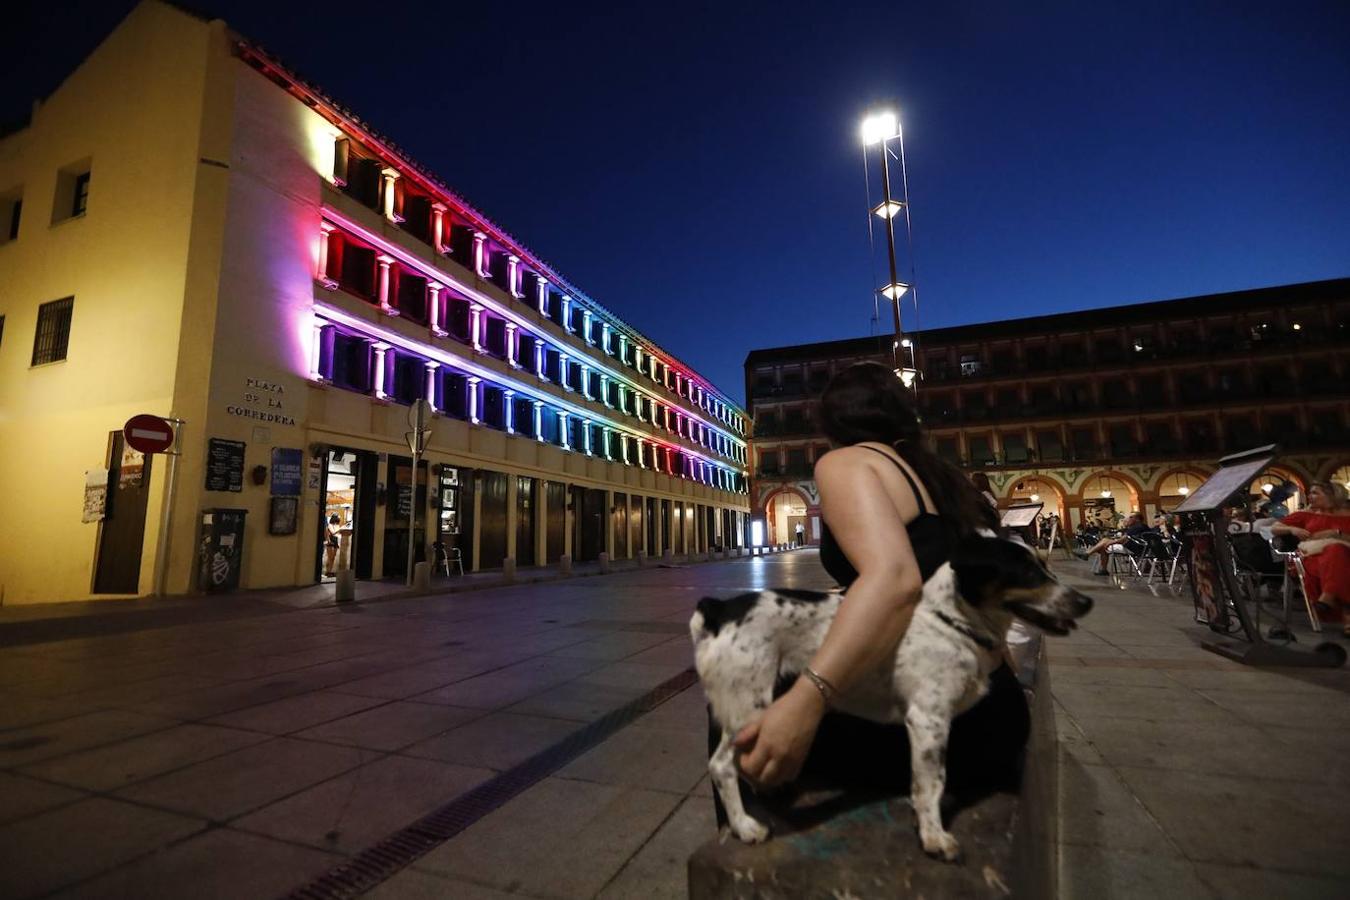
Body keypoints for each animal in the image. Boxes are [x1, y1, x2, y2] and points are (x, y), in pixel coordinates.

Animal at [691, 531, 1090, 863]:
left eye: (1044, 565)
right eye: (1027, 572)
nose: (1086, 601)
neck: (948, 623)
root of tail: (719, 610)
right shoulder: (929, 720)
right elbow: (931, 782)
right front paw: (933, 835)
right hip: (749, 707)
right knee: (722, 766)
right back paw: (745, 826)